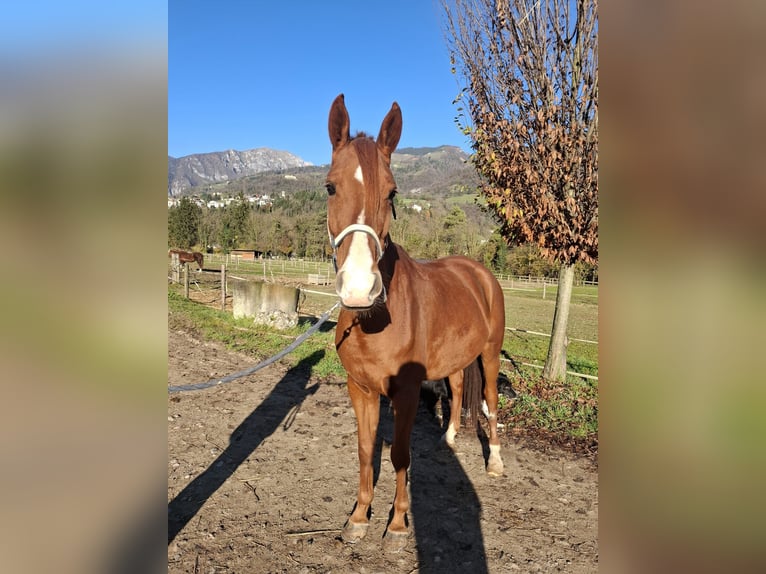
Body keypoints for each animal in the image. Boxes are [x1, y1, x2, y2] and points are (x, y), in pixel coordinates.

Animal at [328, 94, 508, 552]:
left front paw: (396, 525)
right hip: (459, 357)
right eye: (330, 186)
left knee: (490, 401)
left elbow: (399, 456)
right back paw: (449, 438)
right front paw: (358, 518)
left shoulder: (405, 393)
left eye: (392, 192)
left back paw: (496, 462)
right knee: (459, 388)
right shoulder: (360, 389)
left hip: (490, 354)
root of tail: (478, 273)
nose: (359, 287)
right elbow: (365, 451)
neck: (373, 321)